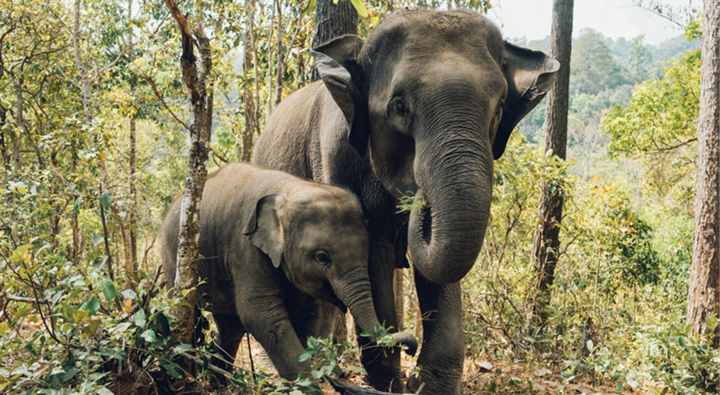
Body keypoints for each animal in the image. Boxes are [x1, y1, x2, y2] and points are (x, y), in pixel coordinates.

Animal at [160, 163, 414, 380]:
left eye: (366, 251)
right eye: (322, 257)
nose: (411, 347)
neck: (289, 190)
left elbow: (310, 313)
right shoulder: (245, 248)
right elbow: (261, 313)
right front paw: (309, 383)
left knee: (230, 327)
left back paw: (218, 380)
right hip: (174, 257)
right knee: (190, 311)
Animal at [250, 9, 560, 395]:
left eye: (501, 106)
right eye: (399, 107)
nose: (418, 196)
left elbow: (440, 270)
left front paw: (426, 384)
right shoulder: (335, 158)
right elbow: (373, 255)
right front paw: (390, 379)